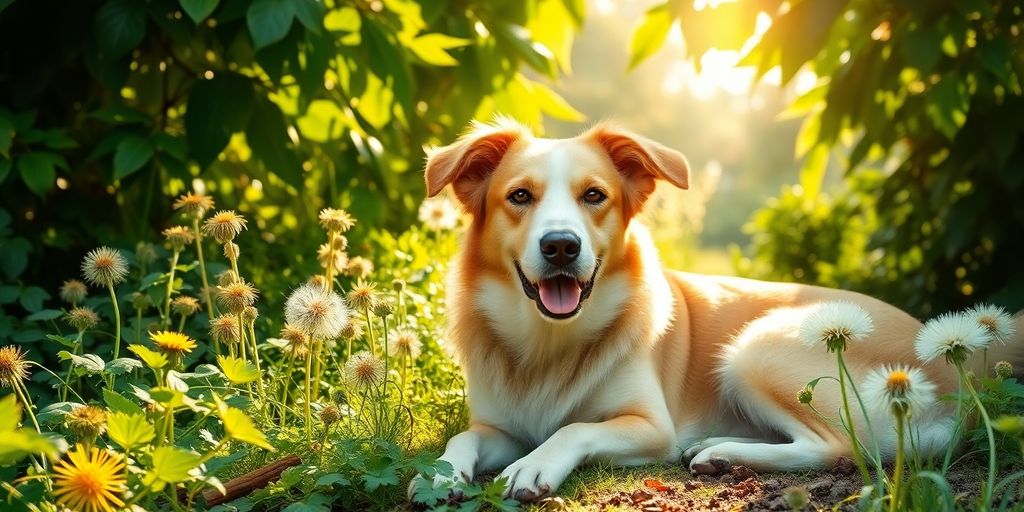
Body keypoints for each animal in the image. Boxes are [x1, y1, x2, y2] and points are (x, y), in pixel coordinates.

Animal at [409, 117, 1024, 501]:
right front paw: (440, 475)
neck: (548, 343)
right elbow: (461, 439)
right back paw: (716, 449)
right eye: (519, 197)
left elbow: (575, 428)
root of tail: (957, 361)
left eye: (594, 196)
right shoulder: (499, 426)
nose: (561, 245)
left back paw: (721, 452)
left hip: (758, 348)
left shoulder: (649, 426)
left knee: (841, 448)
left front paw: (536, 464)